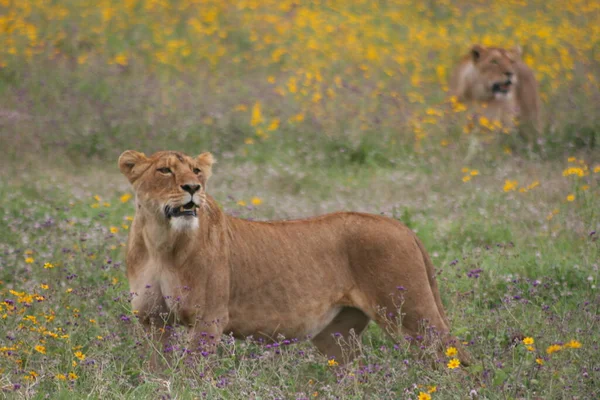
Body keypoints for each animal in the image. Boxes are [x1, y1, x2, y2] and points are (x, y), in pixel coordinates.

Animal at [118, 149, 474, 366]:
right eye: (164, 170)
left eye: (195, 171)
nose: (193, 188)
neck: (162, 243)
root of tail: (403, 227)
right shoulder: (151, 319)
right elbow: (156, 367)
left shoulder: (209, 319)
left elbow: (190, 371)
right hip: (336, 336)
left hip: (413, 314)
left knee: (455, 361)